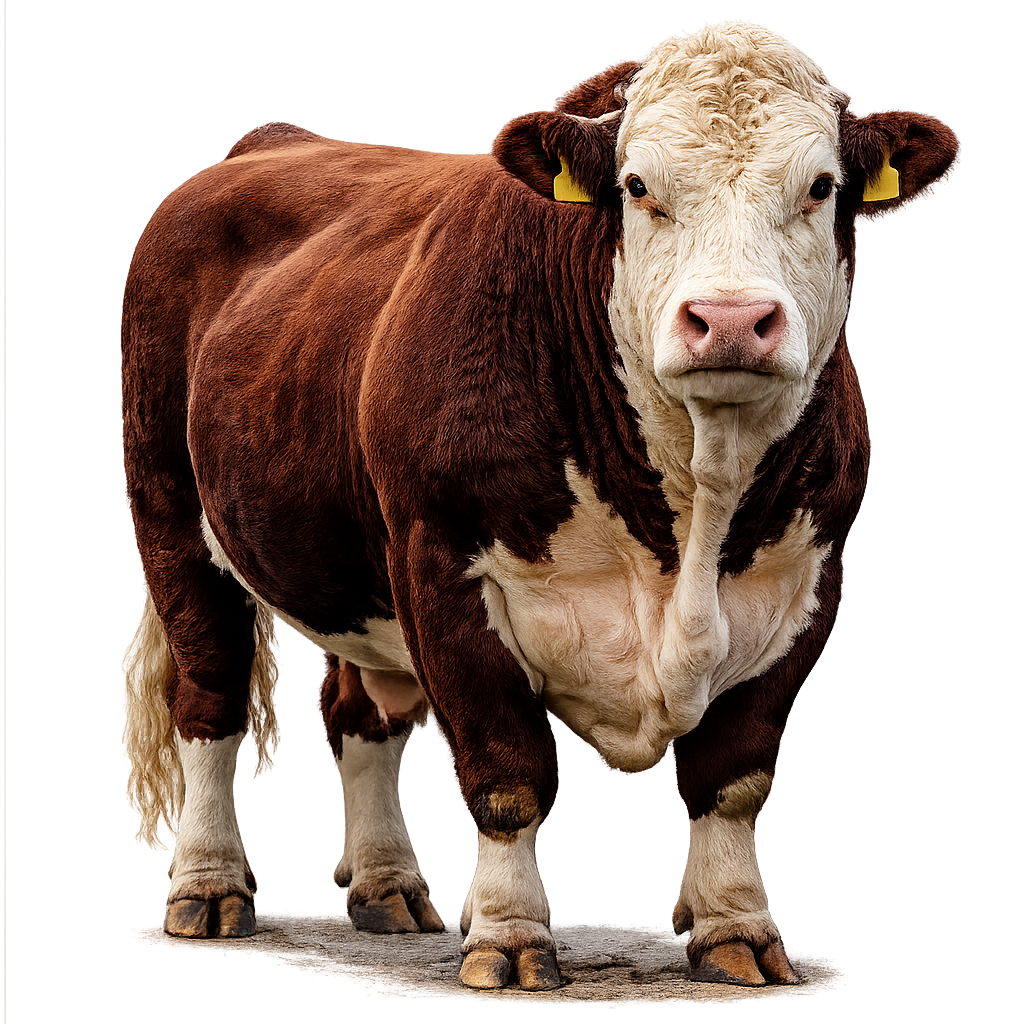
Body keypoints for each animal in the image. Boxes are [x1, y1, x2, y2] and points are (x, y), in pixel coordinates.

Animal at [123, 23, 956, 992]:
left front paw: (735, 930)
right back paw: (209, 886)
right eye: (637, 187)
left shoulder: (807, 587)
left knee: (359, 711)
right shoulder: (443, 568)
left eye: (822, 185)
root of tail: (274, 141)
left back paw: (387, 884)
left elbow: (734, 778)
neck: (689, 513)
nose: (731, 320)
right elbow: (508, 772)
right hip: (170, 510)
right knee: (208, 697)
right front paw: (511, 936)